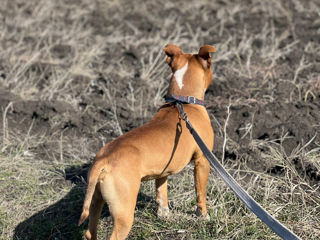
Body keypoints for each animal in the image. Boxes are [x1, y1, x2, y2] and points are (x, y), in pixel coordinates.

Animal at [79, 44, 216, 239]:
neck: (182, 102)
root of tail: (103, 160)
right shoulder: (202, 161)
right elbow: (200, 192)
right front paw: (203, 215)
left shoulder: (163, 169)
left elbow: (161, 189)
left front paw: (164, 213)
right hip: (124, 214)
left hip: (95, 201)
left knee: (90, 232)